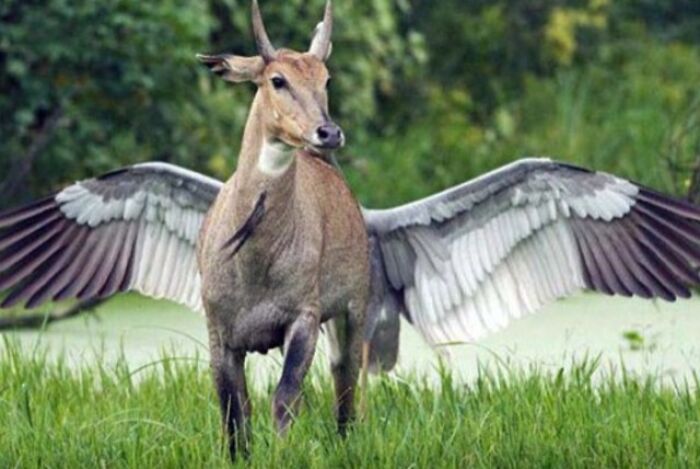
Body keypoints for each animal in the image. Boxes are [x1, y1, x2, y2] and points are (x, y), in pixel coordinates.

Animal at [1, 0, 699, 462]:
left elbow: (286, 401)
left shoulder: (305, 320)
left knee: (345, 396)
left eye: (328, 79)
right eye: (275, 78)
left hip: (358, 318)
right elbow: (233, 415)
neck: (255, 251)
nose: (328, 132)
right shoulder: (219, 332)